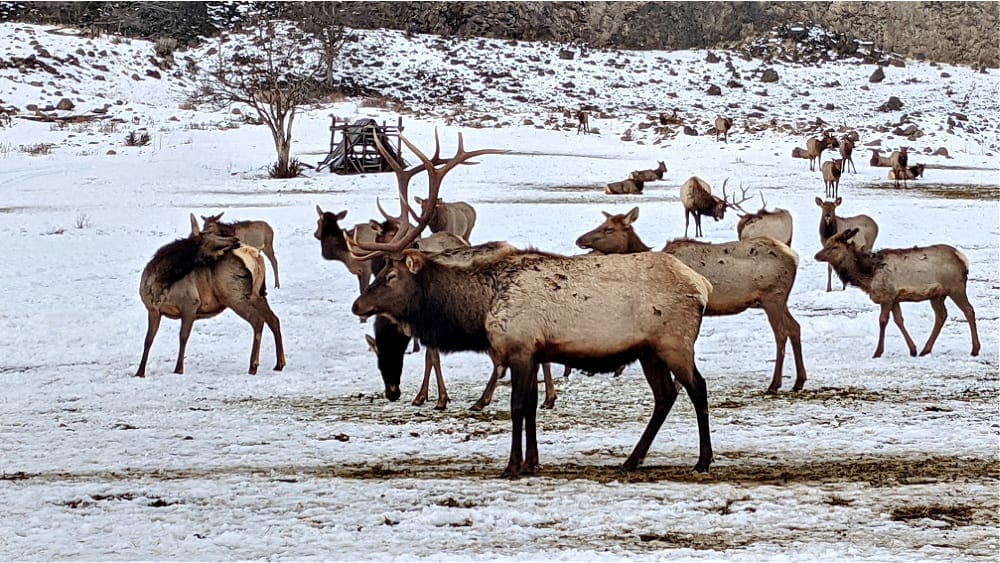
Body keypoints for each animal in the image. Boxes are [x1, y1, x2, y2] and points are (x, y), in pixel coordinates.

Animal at [133, 216, 286, 378]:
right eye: (210, 235)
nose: (235, 239)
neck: (159, 280)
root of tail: (255, 255)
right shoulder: (153, 310)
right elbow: (148, 340)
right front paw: (140, 372)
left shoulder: (190, 304)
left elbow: (183, 337)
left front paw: (178, 369)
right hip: (256, 294)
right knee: (273, 319)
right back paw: (279, 363)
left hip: (235, 295)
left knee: (258, 320)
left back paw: (253, 365)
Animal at [348, 131, 716, 476]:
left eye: (391, 276)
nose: (357, 306)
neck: (481, 309)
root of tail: (701, 285)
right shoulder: (536, 352)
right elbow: (532, 407)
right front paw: (532, 461)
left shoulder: (520, 347)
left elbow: (517, 407)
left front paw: (512, 465)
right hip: (647, 350)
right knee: (665, 396)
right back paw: (632, 459)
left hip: (673, 341)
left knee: (697, 387)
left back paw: (703, 459)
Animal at [580, 205, 804, 394]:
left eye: (608, 228)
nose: (580, 239)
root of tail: (794, 256)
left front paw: (679, 384)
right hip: (778, 300)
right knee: (795, 327)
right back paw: (799, 382)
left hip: (772, 297)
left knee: (781, 333)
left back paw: (774, 385)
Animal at [816, 228, 980, 356]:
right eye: (827, 243)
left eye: (834, 246)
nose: (816, 255)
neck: (868, 276)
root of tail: (963, 259)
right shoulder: (894, 298)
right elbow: (899, 320)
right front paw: (913, 349)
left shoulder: (886, 296)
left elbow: (883, 321)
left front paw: (878, 352)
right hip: (938, 294)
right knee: (941, 315)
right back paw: (925, 350)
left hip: (955, 287)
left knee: (969, 310)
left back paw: (975, 349)